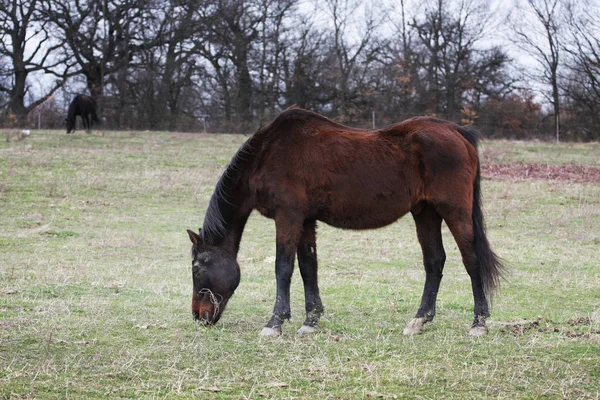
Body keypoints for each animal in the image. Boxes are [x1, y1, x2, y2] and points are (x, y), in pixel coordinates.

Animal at [185, 107, 504, 338]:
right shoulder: (305, 220)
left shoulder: (288, 216)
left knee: (472, 260)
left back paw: (479, 323)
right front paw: (310, 320)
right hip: (425, 213)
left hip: (454, 211)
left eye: (197, 268)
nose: (198, 316)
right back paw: (419, 320)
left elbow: (283, 268)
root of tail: (457, 132)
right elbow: (308, 268)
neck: (267, 154)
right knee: (434, 262)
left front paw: (275, 323)